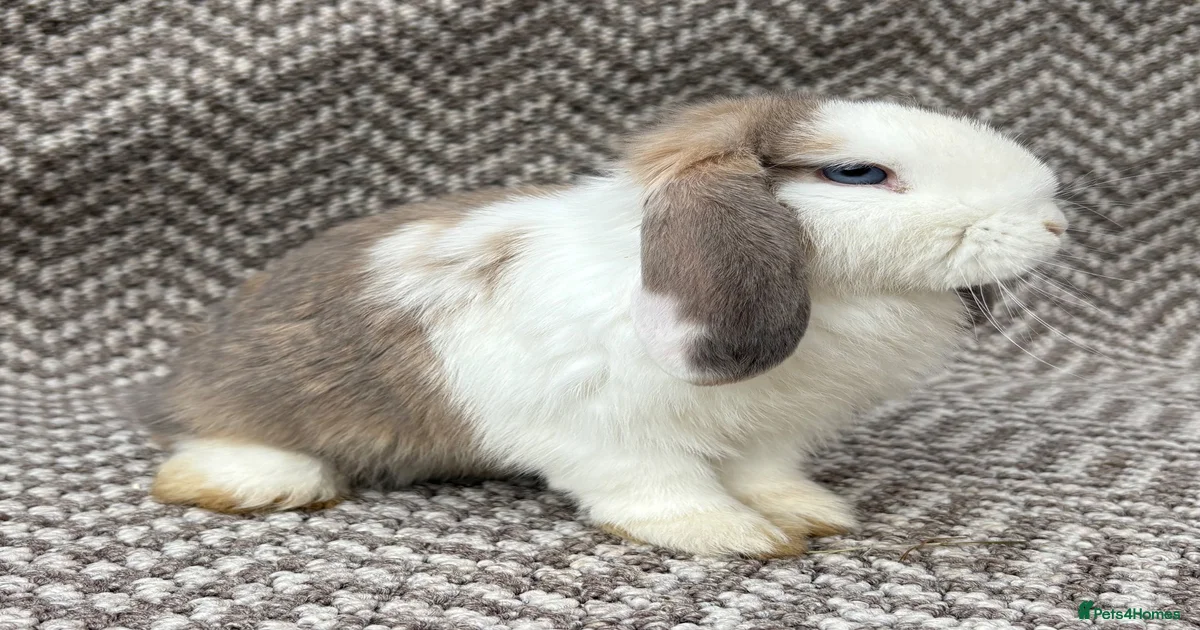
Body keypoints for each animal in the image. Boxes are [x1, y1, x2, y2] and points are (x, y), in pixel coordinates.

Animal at [134, 93, 1067, 557]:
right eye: (859, 173)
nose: (1055, 222)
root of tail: (176, 380)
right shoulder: (608, 430)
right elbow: (661, 488)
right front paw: (731, 537)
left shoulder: (768, 428)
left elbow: (767, 473)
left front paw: (810, 514)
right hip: (257, 407)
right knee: (205, 453)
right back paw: (269, 483)